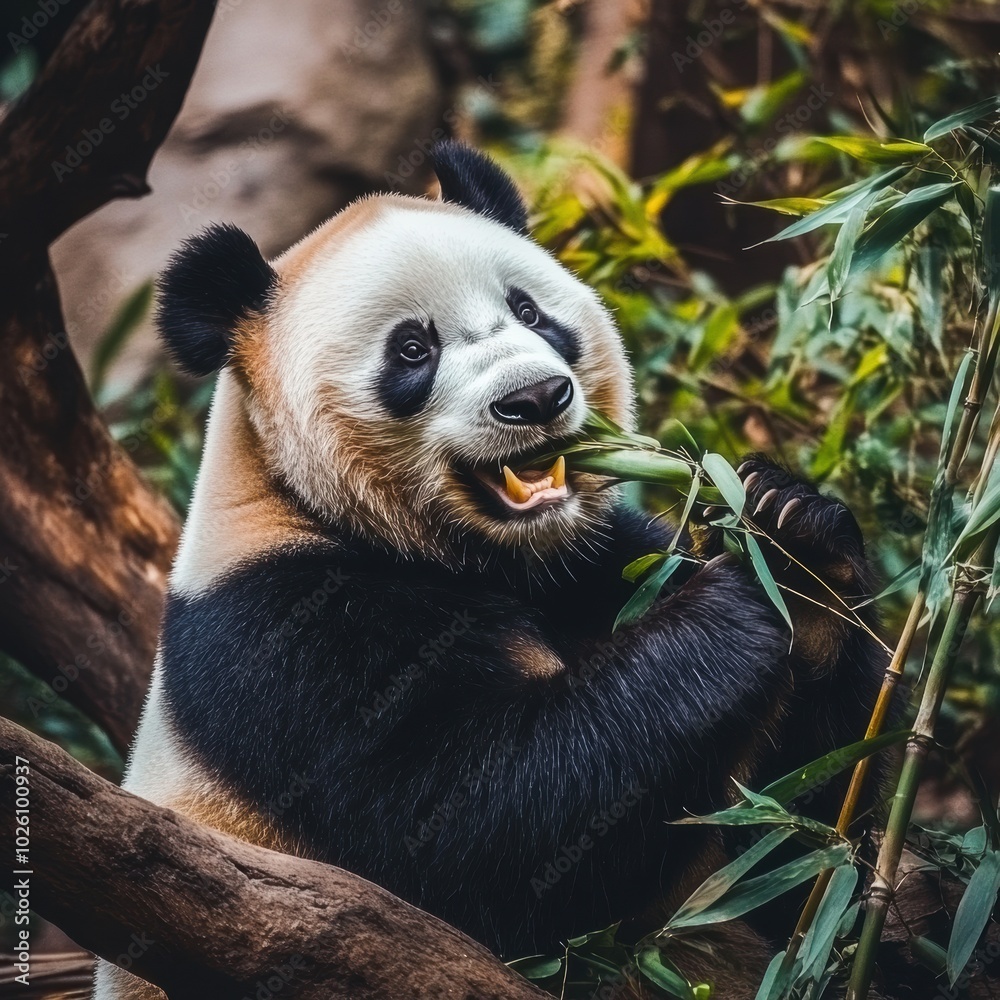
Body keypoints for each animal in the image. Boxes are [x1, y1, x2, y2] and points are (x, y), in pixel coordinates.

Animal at [95, 142, 882, 999]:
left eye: (531, 312)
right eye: (412, 348)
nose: (535, 396)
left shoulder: (598, 562)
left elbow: (793, 827)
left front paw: (791, 537)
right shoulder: (282, 639)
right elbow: (484, 834)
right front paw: (728, 612)